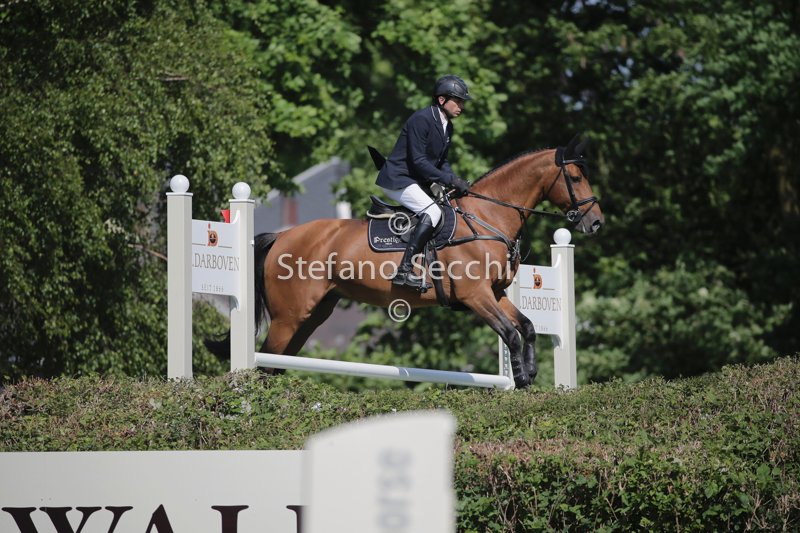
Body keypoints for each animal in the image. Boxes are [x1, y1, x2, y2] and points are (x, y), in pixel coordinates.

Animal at [209, 135, 604, 388]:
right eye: (575, 177)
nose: (596, 223)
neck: (487, 216)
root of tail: (281, 236)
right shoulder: (476, 296)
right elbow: (510, 333)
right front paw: (520, 378)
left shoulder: (494, 294)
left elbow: (528, 327)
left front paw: (531, 373)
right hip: (289, 318)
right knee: (264, 362)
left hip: (311, 317)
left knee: (276, 363)